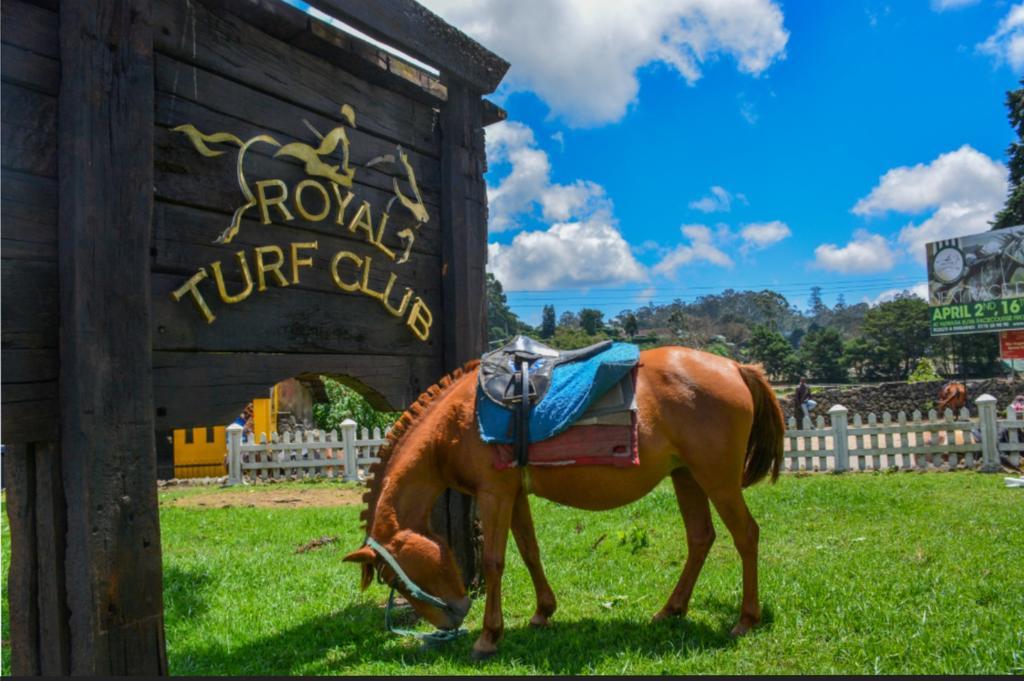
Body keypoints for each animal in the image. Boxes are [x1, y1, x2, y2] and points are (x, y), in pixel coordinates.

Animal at [344, 348, 782, 655]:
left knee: (746, 535)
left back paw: (746, 619)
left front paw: (488, 636)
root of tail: (736, 367)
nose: (451, 617)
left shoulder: (494, 493)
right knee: (700, 538)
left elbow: (494, 561)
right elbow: (529, 551)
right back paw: (671, 609)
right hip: (686, 476)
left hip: (717, 479)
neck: (457, 421)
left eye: (389, 578)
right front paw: (543, 612)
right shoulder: (514, 494)